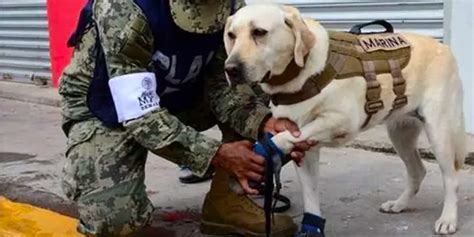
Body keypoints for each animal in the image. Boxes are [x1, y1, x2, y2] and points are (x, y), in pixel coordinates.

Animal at [225, 3, 466, 235]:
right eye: (231, 35)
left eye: (259, 32)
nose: (230, 69)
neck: (299, 73)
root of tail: (444, 47)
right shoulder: (306, 152)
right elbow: (310, 198)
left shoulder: (342, 121)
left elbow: (283, 137)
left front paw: (261, 152)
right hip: (401, 133)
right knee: (418, 171)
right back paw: (399, 204)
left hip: (439, 132)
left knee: (452, 177)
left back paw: (448, 219)